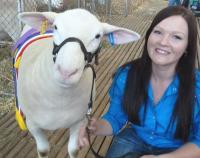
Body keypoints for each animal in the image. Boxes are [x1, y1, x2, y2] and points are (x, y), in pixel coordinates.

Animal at [14, 8, 140, 158]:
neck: (60, 99)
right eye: (56, 27)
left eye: (98, 36)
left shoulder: (80, 121)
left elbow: (73, 150)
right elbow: (43, 150)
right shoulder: (33, 124)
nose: (66, 72)